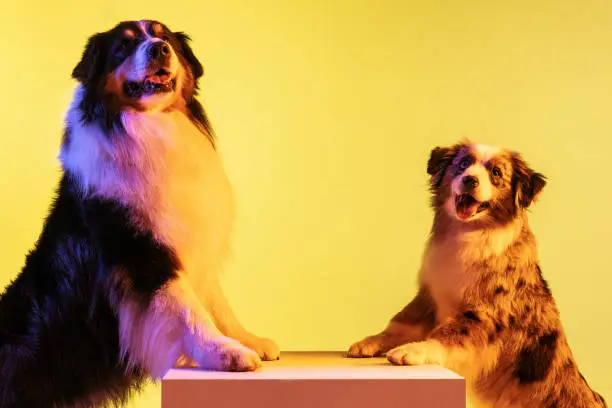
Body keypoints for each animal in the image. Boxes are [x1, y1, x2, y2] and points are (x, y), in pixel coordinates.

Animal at [0, 19, 280, 408]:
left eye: (166, 38)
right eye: (123, 46)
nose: (159, 48)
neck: (152, 129)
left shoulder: (192, 239)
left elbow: (215, 301)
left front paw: (248, 338)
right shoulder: (140, 252)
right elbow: (187, 307)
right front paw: (226, 352)